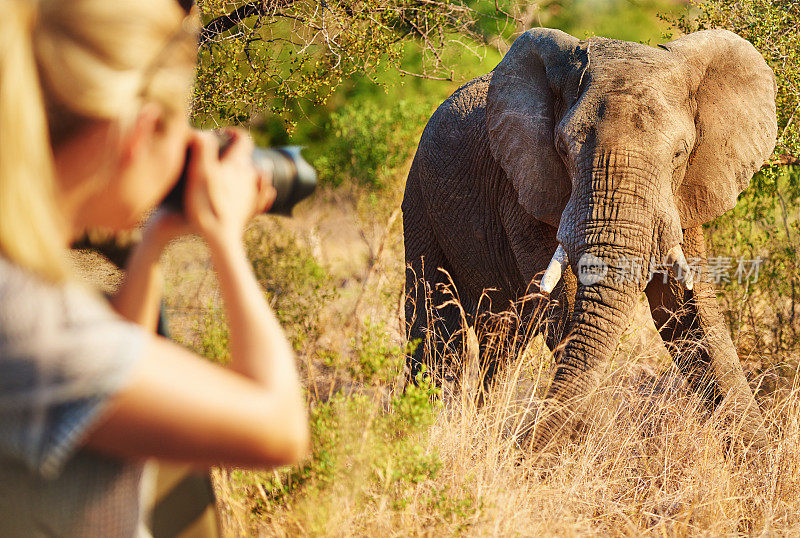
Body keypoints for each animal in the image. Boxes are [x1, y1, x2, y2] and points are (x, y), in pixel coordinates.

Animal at [404, 28, 780, 448]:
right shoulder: (524, 186)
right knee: (435, 327)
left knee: (501, 337)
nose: (522, 448)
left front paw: (759, 458)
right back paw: (422, 428)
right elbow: (567, 306)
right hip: (419, 197)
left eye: (680, 154)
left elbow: (687, 311)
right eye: (562, 149)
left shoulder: (685, 194)